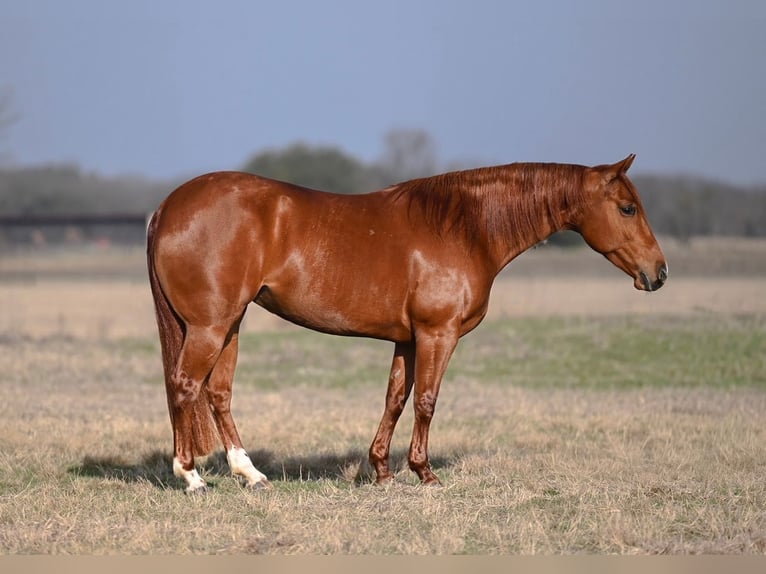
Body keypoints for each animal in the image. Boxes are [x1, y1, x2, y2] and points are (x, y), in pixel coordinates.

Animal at [146, 153, 667, 493]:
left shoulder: (409, 340)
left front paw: (382, 470)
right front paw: (425, 472)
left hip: (230, 324)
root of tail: (167, 207)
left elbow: (395, 399)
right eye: (627, 208)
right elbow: (426, 401)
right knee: (185, 385)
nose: (658, 273)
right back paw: (191, 476)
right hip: (211, 327)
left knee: (217, 393)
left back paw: (250, 474)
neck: (465, 228)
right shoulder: (439, 333)